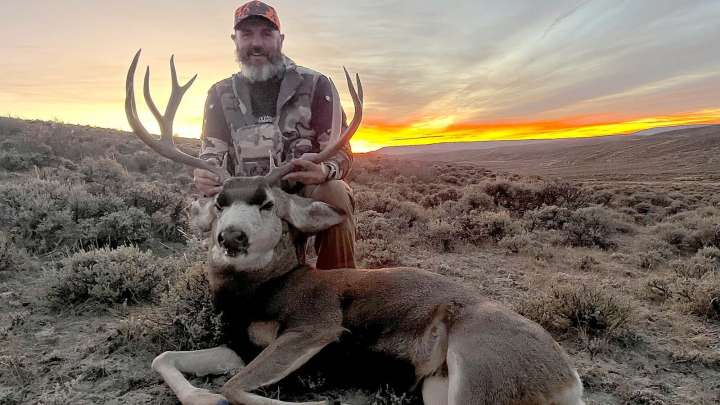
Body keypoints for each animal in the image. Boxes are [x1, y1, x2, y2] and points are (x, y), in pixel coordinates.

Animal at [125, 49, 586, 405]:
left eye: (269, 204)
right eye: (220, 202)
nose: (231, 237)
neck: (261, 293)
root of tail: (570, 380)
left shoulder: (316, 324)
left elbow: (233, 388)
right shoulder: (238, 345)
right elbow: (165, 358)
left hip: (478, 369)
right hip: (437, 388)